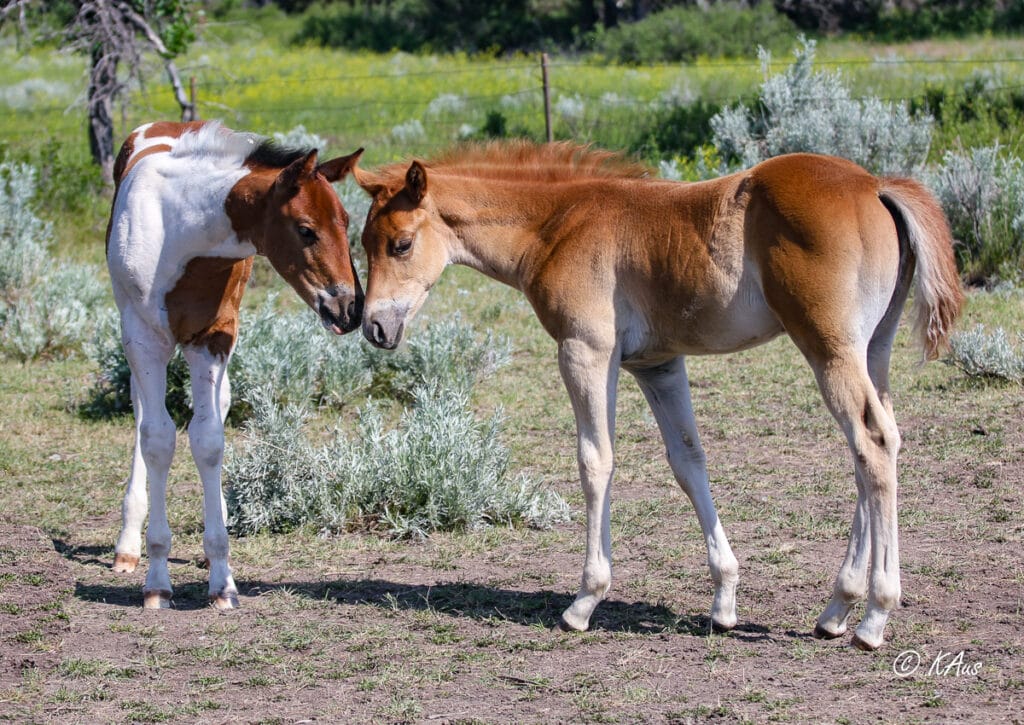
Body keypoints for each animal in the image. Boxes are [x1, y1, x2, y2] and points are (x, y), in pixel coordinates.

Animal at [106, 121, 364, 609]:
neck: (184, 235)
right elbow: (157, 439)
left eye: (347, 223)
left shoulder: (215, 336)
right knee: (141, 413)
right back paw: (127, 545)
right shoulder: (145, 338)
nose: (349, 309)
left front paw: (222, 579)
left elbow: (208, 439)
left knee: (218, 405)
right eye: (306, 230)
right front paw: (156, 580)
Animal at [352, 141, 963, 650]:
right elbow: (688, 462)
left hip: (829, 346)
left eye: (401, 244)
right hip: (872, 349)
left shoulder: (587, 351)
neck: (555, 226)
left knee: (871, 442)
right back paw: (837, 608)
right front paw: (724, 602)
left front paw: (584, 601)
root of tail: (873, 184)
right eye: (362, 244)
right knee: (877, 447)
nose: (374, 327)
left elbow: (595, 461)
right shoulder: (657, 364)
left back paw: (874, 618)